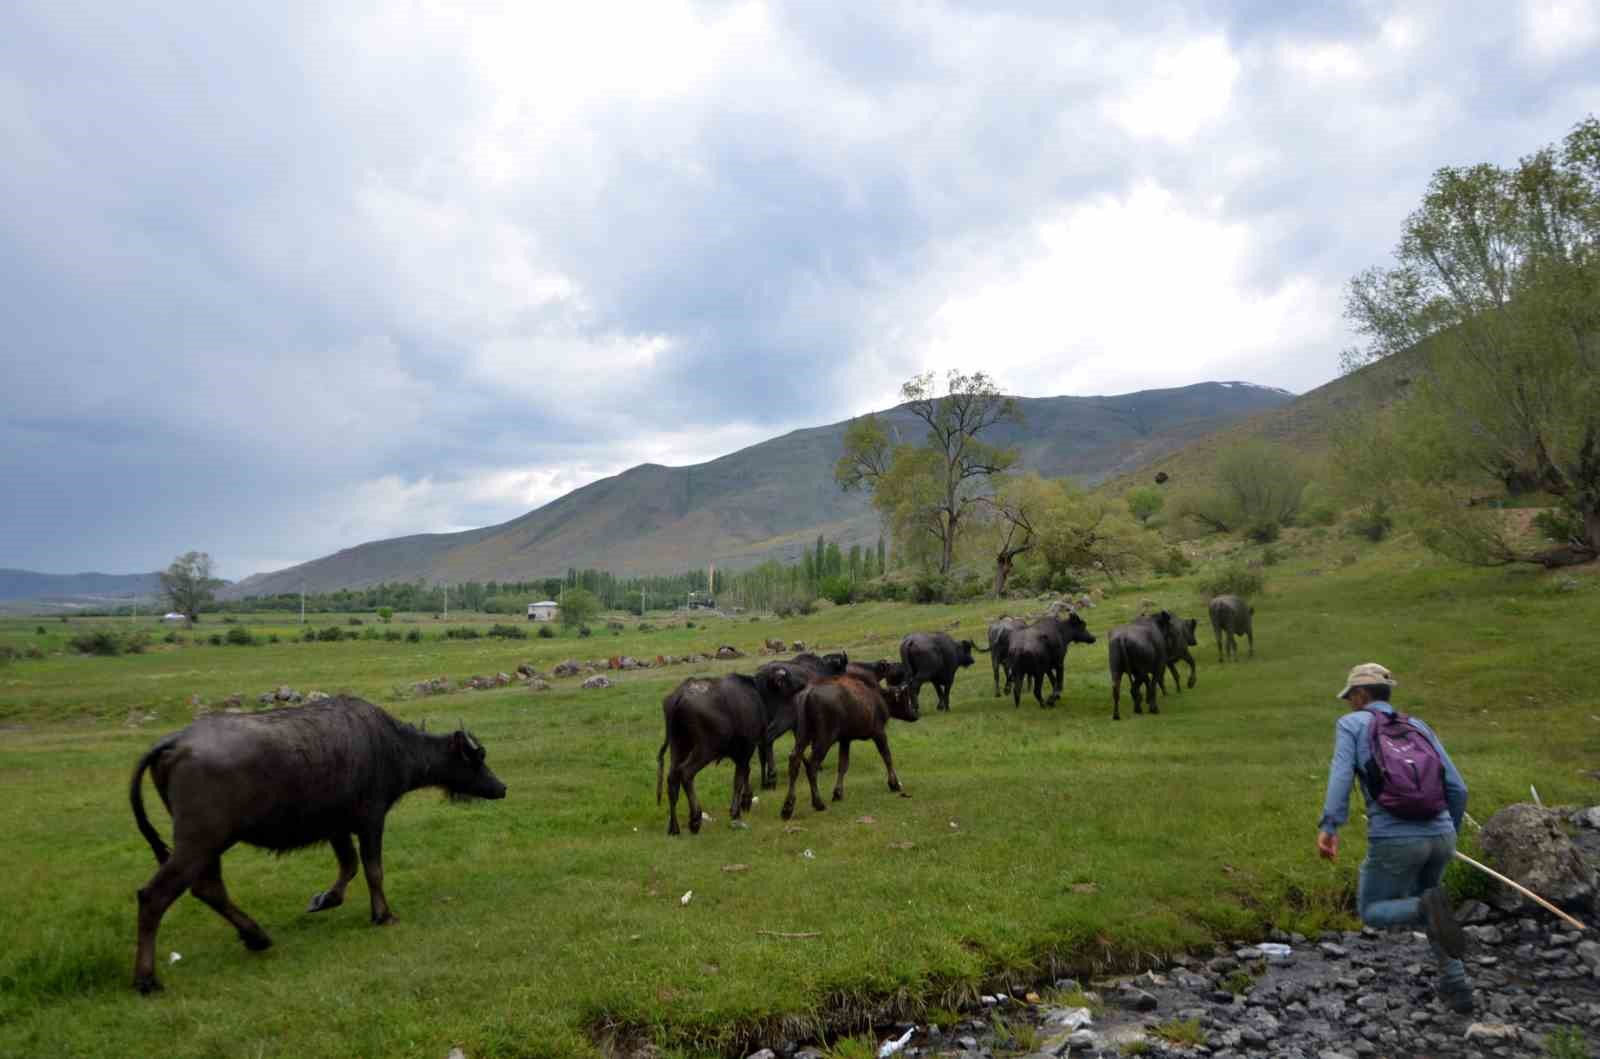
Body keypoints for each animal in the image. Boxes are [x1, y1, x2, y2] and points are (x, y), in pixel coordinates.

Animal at [130, 697, 505, 998]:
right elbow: (373, 869)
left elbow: (349, 866)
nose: (501, 787)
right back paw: (146, 979)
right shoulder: (371, 819)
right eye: (478, 758)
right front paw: (382, 914)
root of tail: (175, 741)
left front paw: (324, 900)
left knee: (209, 889)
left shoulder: (336, 826)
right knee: (154, 897)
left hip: (209, 845)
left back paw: (257, 937)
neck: (391, 746)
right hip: (200, 841)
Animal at [656, 671, 806, 838]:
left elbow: (745, 773)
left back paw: (674, 828)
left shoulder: (741, 752)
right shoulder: (746, 748)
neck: (757, 694)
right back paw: (695, 820)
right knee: (686, 773)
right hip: (705, 749)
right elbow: (739, 779)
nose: (803, 683)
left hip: (678, 747)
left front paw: (746, 801)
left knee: (672, 779)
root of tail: (680, 694)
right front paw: (736, 811)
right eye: (785, 677)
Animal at [780, 675, 921, 815]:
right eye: (906, 697)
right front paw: (894, 784)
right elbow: (887, 757)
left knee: (794, 760)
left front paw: (838, 793)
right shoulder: (879, 732)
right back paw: (818, 803)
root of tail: (807, 693)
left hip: (803, 736)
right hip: (825, 738)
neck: (880, 697)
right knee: (812, 765)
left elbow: (843, 765)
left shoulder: (845, 739)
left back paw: (788, 807)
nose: (915, 714)